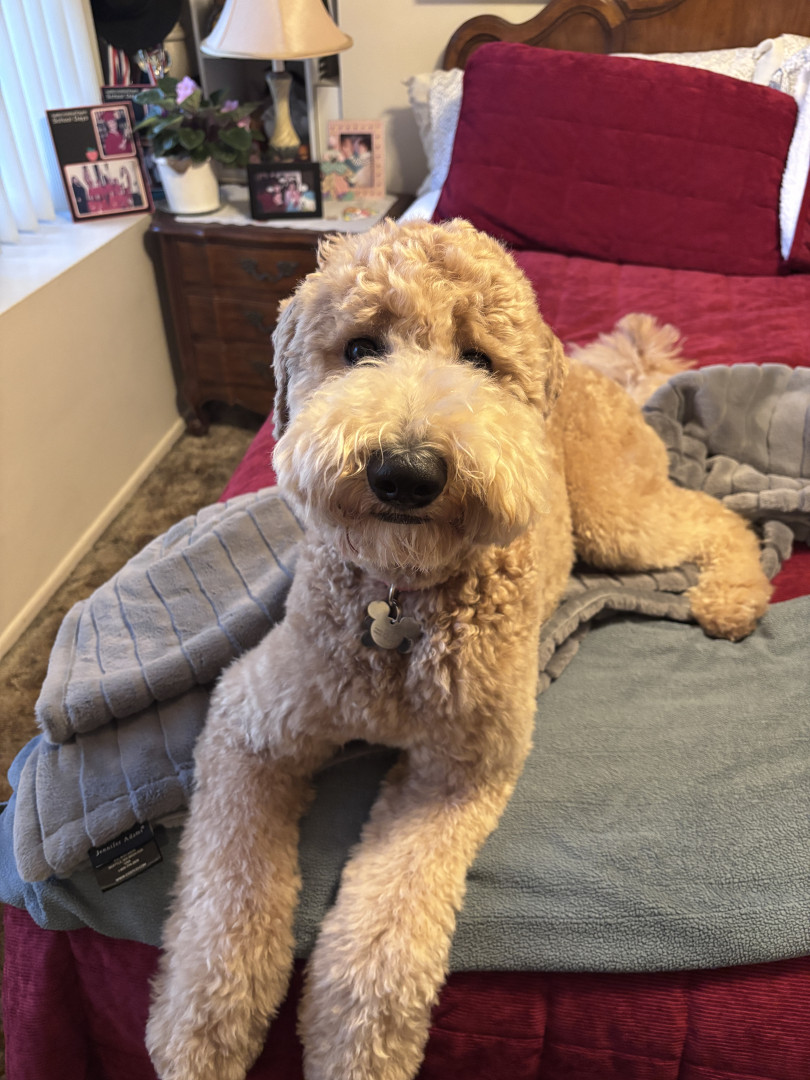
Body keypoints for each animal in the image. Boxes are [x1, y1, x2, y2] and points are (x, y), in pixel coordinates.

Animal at [146, 218, 771, 1080]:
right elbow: (226, 894)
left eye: (478, 358)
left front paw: (355, 1049)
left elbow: (386, 930)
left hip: (618, 520)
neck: (401, 603)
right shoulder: (250, 721)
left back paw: (732, 597)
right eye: (360, 347)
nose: (406, 473)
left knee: (718, 516)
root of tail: (594, 369)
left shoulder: (458, 773)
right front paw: (201, 1029)